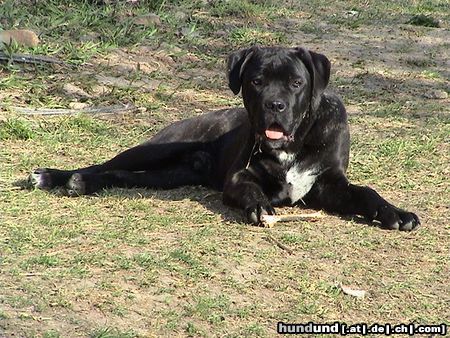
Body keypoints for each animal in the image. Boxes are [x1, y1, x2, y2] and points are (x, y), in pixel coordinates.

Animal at [30, 46, 418, 231]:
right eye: (256, 81)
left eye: (296, 82)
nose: (274, 105)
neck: (294, 142)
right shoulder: (238, 177)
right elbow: (251, 190)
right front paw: (259, 205)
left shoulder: (329, 185)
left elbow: (367, 193)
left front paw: (396, 213)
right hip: (152, 150)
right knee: (104, 164)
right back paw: (57, 177)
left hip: (167, 175)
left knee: (121, 176)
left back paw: (82, 183)